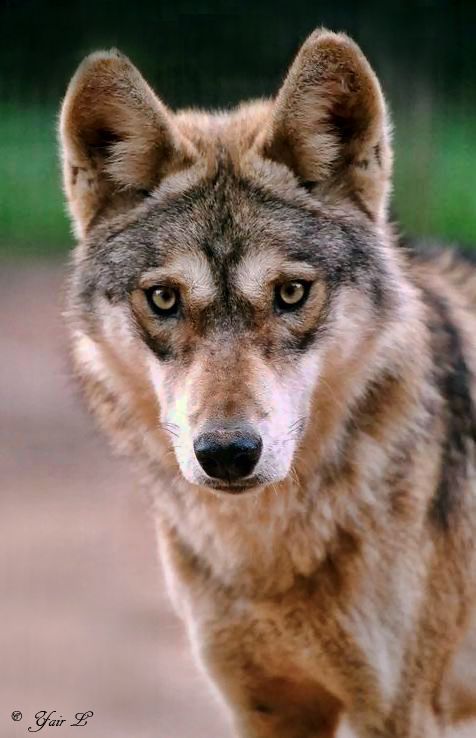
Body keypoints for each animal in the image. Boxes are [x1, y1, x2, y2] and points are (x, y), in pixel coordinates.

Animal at [59, 28, 476, 738]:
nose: (227, 454)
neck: (262, 558)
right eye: (165, 299)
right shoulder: (265, 707)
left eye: (290, 293)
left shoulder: (403, 712)